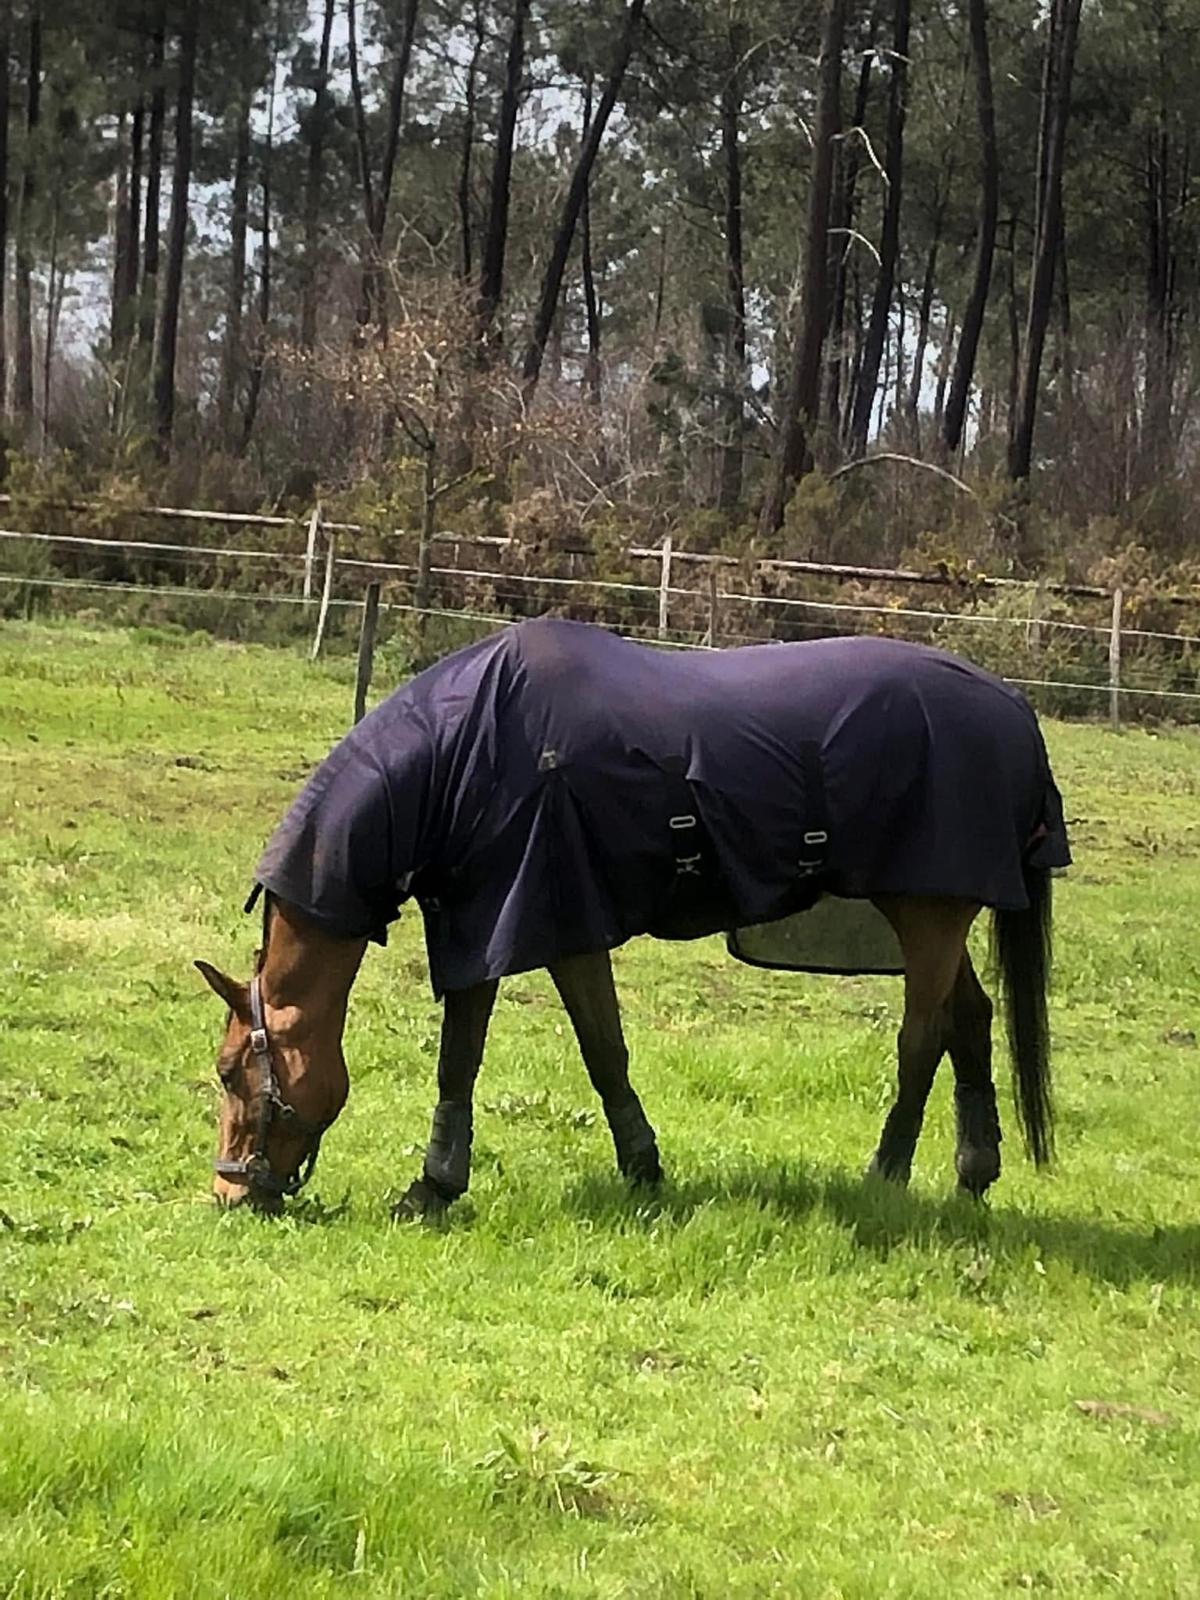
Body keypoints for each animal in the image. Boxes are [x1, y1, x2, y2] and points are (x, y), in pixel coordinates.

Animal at [197, 618, 1070, 1216]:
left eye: (234, 1071)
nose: (230, 1192)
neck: (471, 752)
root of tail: (1015, 713)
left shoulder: (520, 925)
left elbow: (530, 1056)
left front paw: (439, 1187)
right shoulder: (515, 926)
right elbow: (541, 1054)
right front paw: (634, 1167)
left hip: (927, 916)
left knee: (922, 1039)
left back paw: (885, 1176)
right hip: (932, 919)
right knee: (970, 1019)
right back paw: (974, 1172)